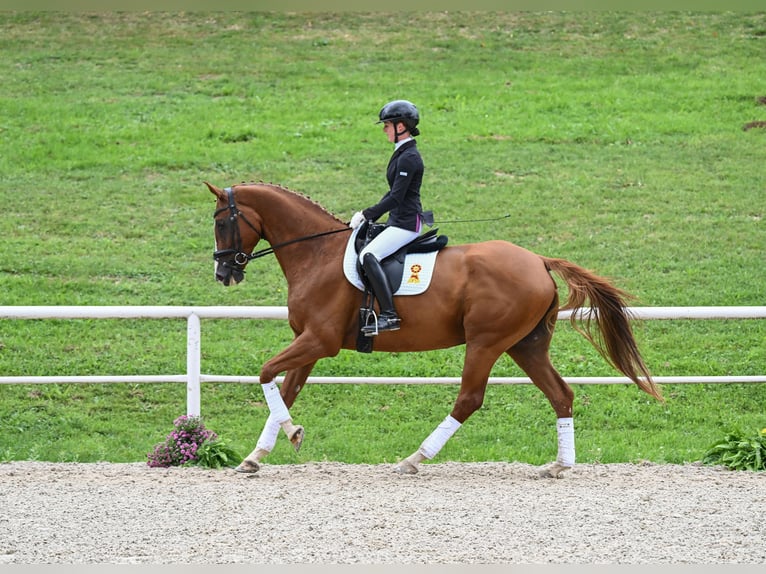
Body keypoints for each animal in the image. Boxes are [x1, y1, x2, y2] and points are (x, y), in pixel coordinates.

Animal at [206, 182, 664, 480]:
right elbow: (285, 390)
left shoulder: (319, 341)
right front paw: (258, 454)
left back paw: (414, 459)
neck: (316, 253)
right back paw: (558, 465)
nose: (223, 273)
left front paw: (290, 434)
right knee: (561, 394)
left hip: (486, 343)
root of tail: (538, 260)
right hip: (525, 346)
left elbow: (266, 373)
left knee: (469, 399)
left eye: (221, 222)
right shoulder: (311, 343)